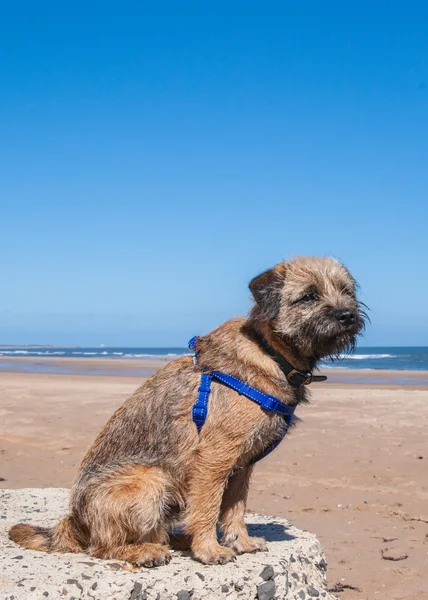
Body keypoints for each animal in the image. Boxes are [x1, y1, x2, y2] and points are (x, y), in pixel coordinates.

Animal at [8, 255, 366, 564]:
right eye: (308, 296)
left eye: (347, 291)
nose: (347, 315)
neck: (271, 351)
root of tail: (72, 522)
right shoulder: (214, 458)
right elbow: (207, 507)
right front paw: (210, 549)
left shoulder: (241, 466)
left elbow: (235, 507)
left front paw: (240, 542)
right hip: (150, 481)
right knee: (103, 546)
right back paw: (145, 551)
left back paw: (175, 540)